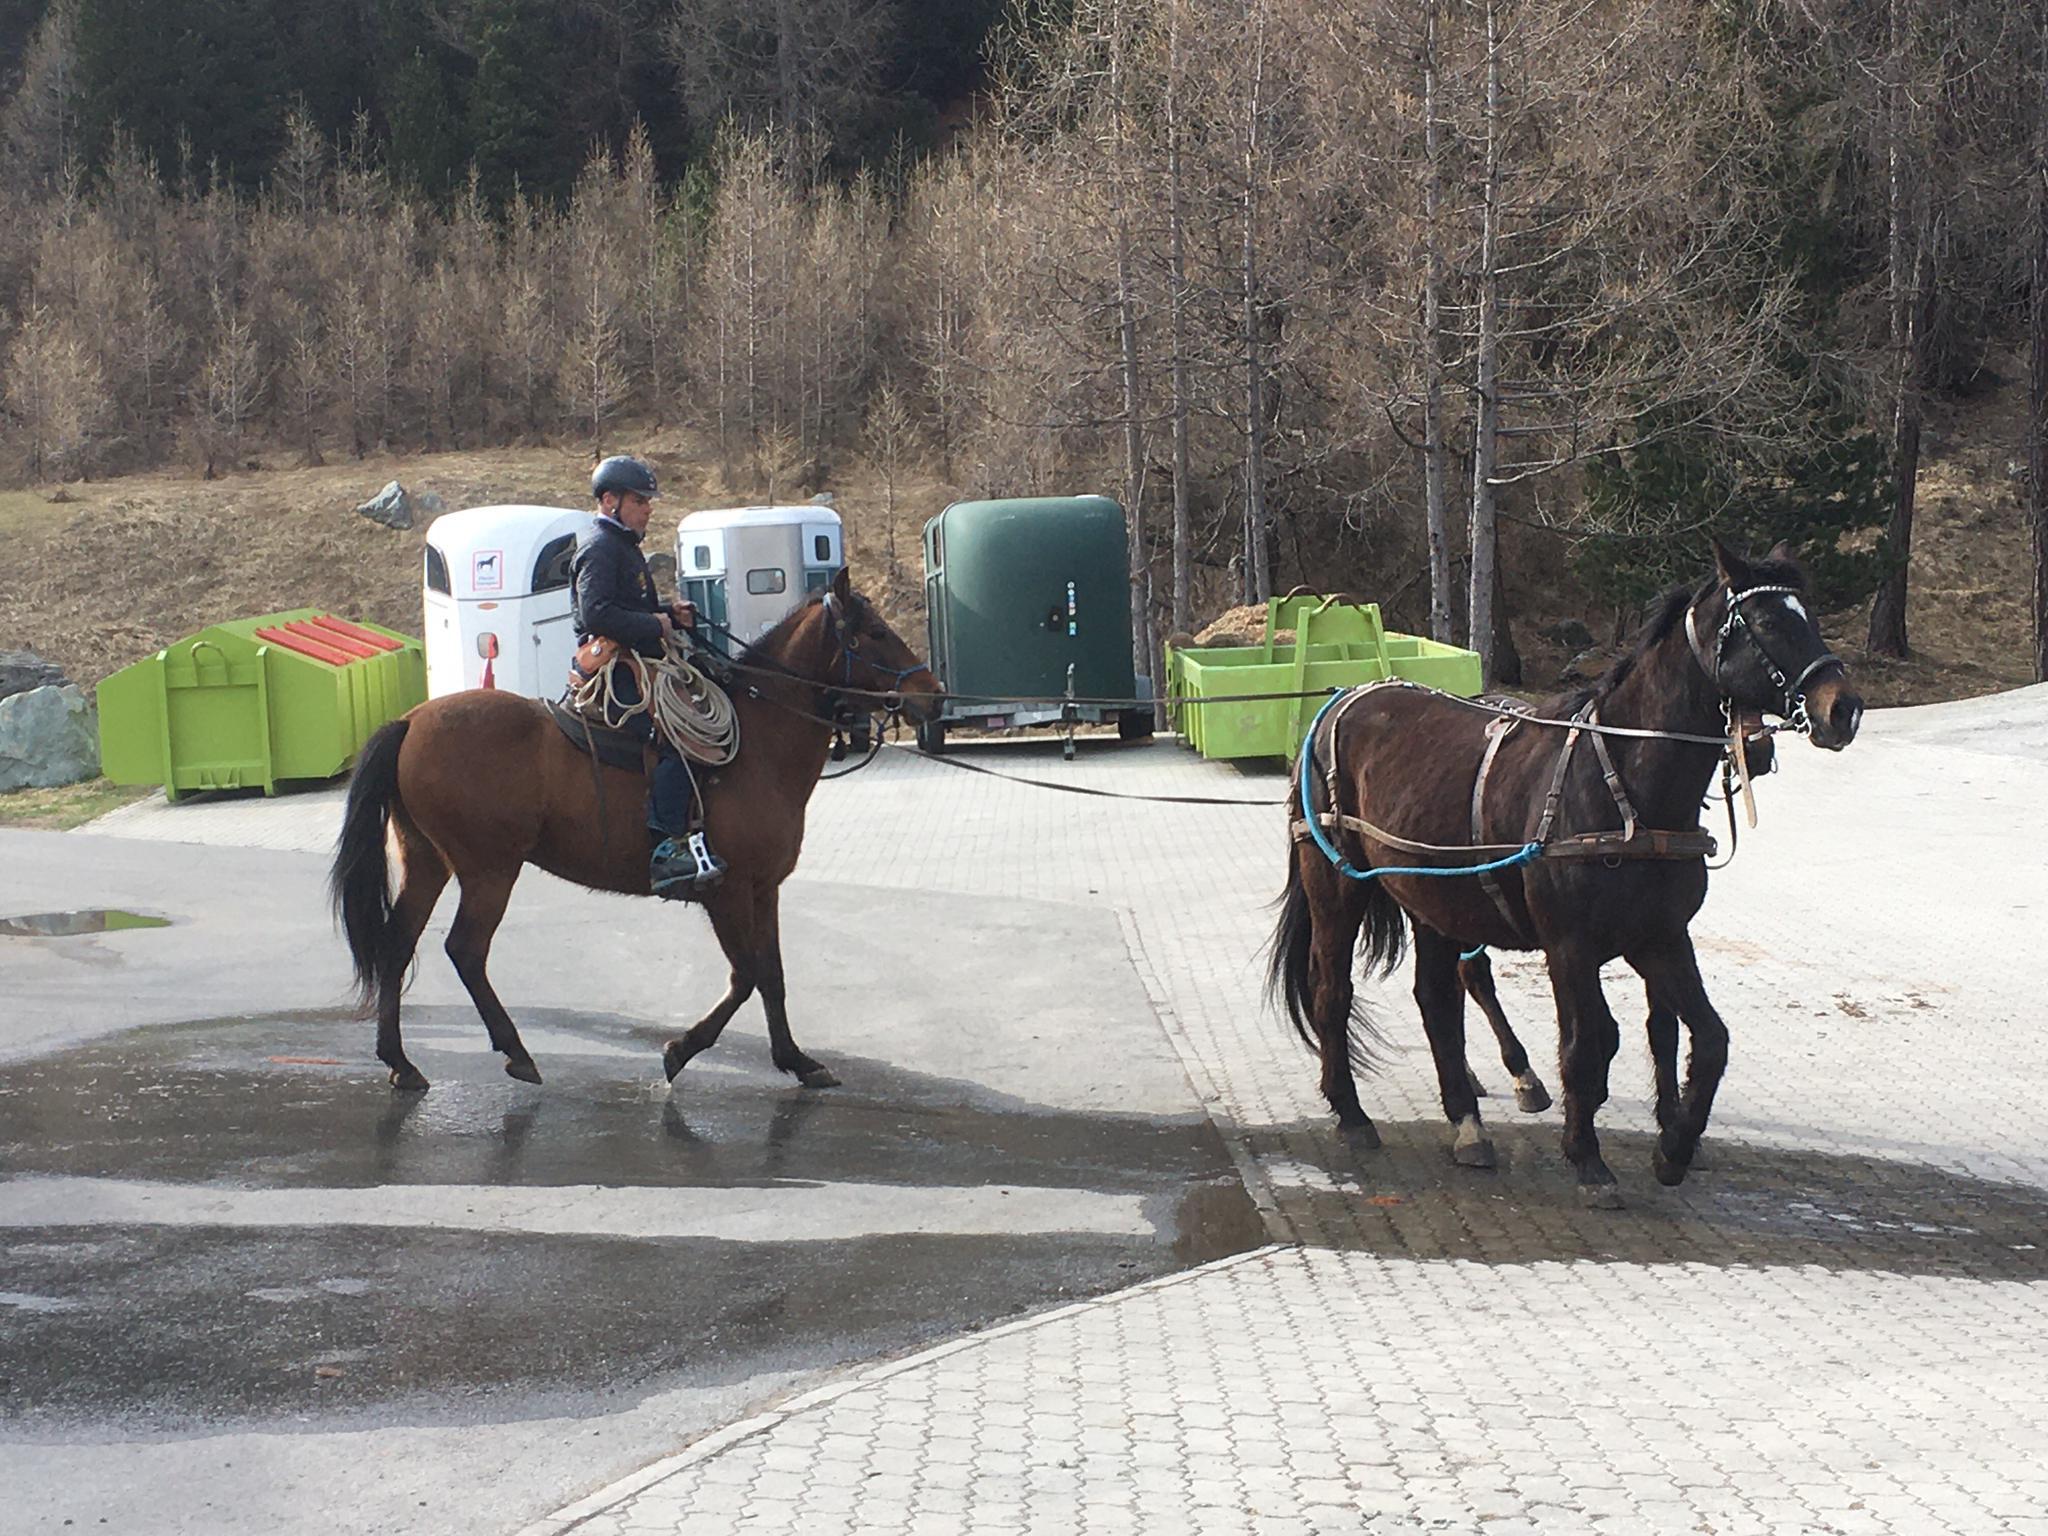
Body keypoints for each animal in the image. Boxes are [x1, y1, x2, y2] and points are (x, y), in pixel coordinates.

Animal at [331, 569, 937, 1097]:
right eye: (876, 632)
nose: (931, 693)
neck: (758, 745)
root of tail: (411, 721)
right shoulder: (727, 892)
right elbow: (745, 976)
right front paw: (680, 1051)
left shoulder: (765, 890)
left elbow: (772, 975)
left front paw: (797, 1060)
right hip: (489, 871)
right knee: (466, 950)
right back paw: (515, 1052)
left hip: (429, 863)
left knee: (397, 945)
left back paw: (401, 1062)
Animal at [1261, 548, 1859, 1212]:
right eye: (1767, 622)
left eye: (1809, 616)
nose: (1843, 708)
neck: (1622, 784)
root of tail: (1341, 701)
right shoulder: (1570, 946)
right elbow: (1587, 1044)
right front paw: (1587, 1155)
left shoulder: (1658, 938)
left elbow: (1704, 1038)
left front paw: (1674, 1148)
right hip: (1337, 888)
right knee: (1332, 993)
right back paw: (1353, 1113)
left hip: (1435, 899)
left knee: (1437, 1000)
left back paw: (1467, 1122)